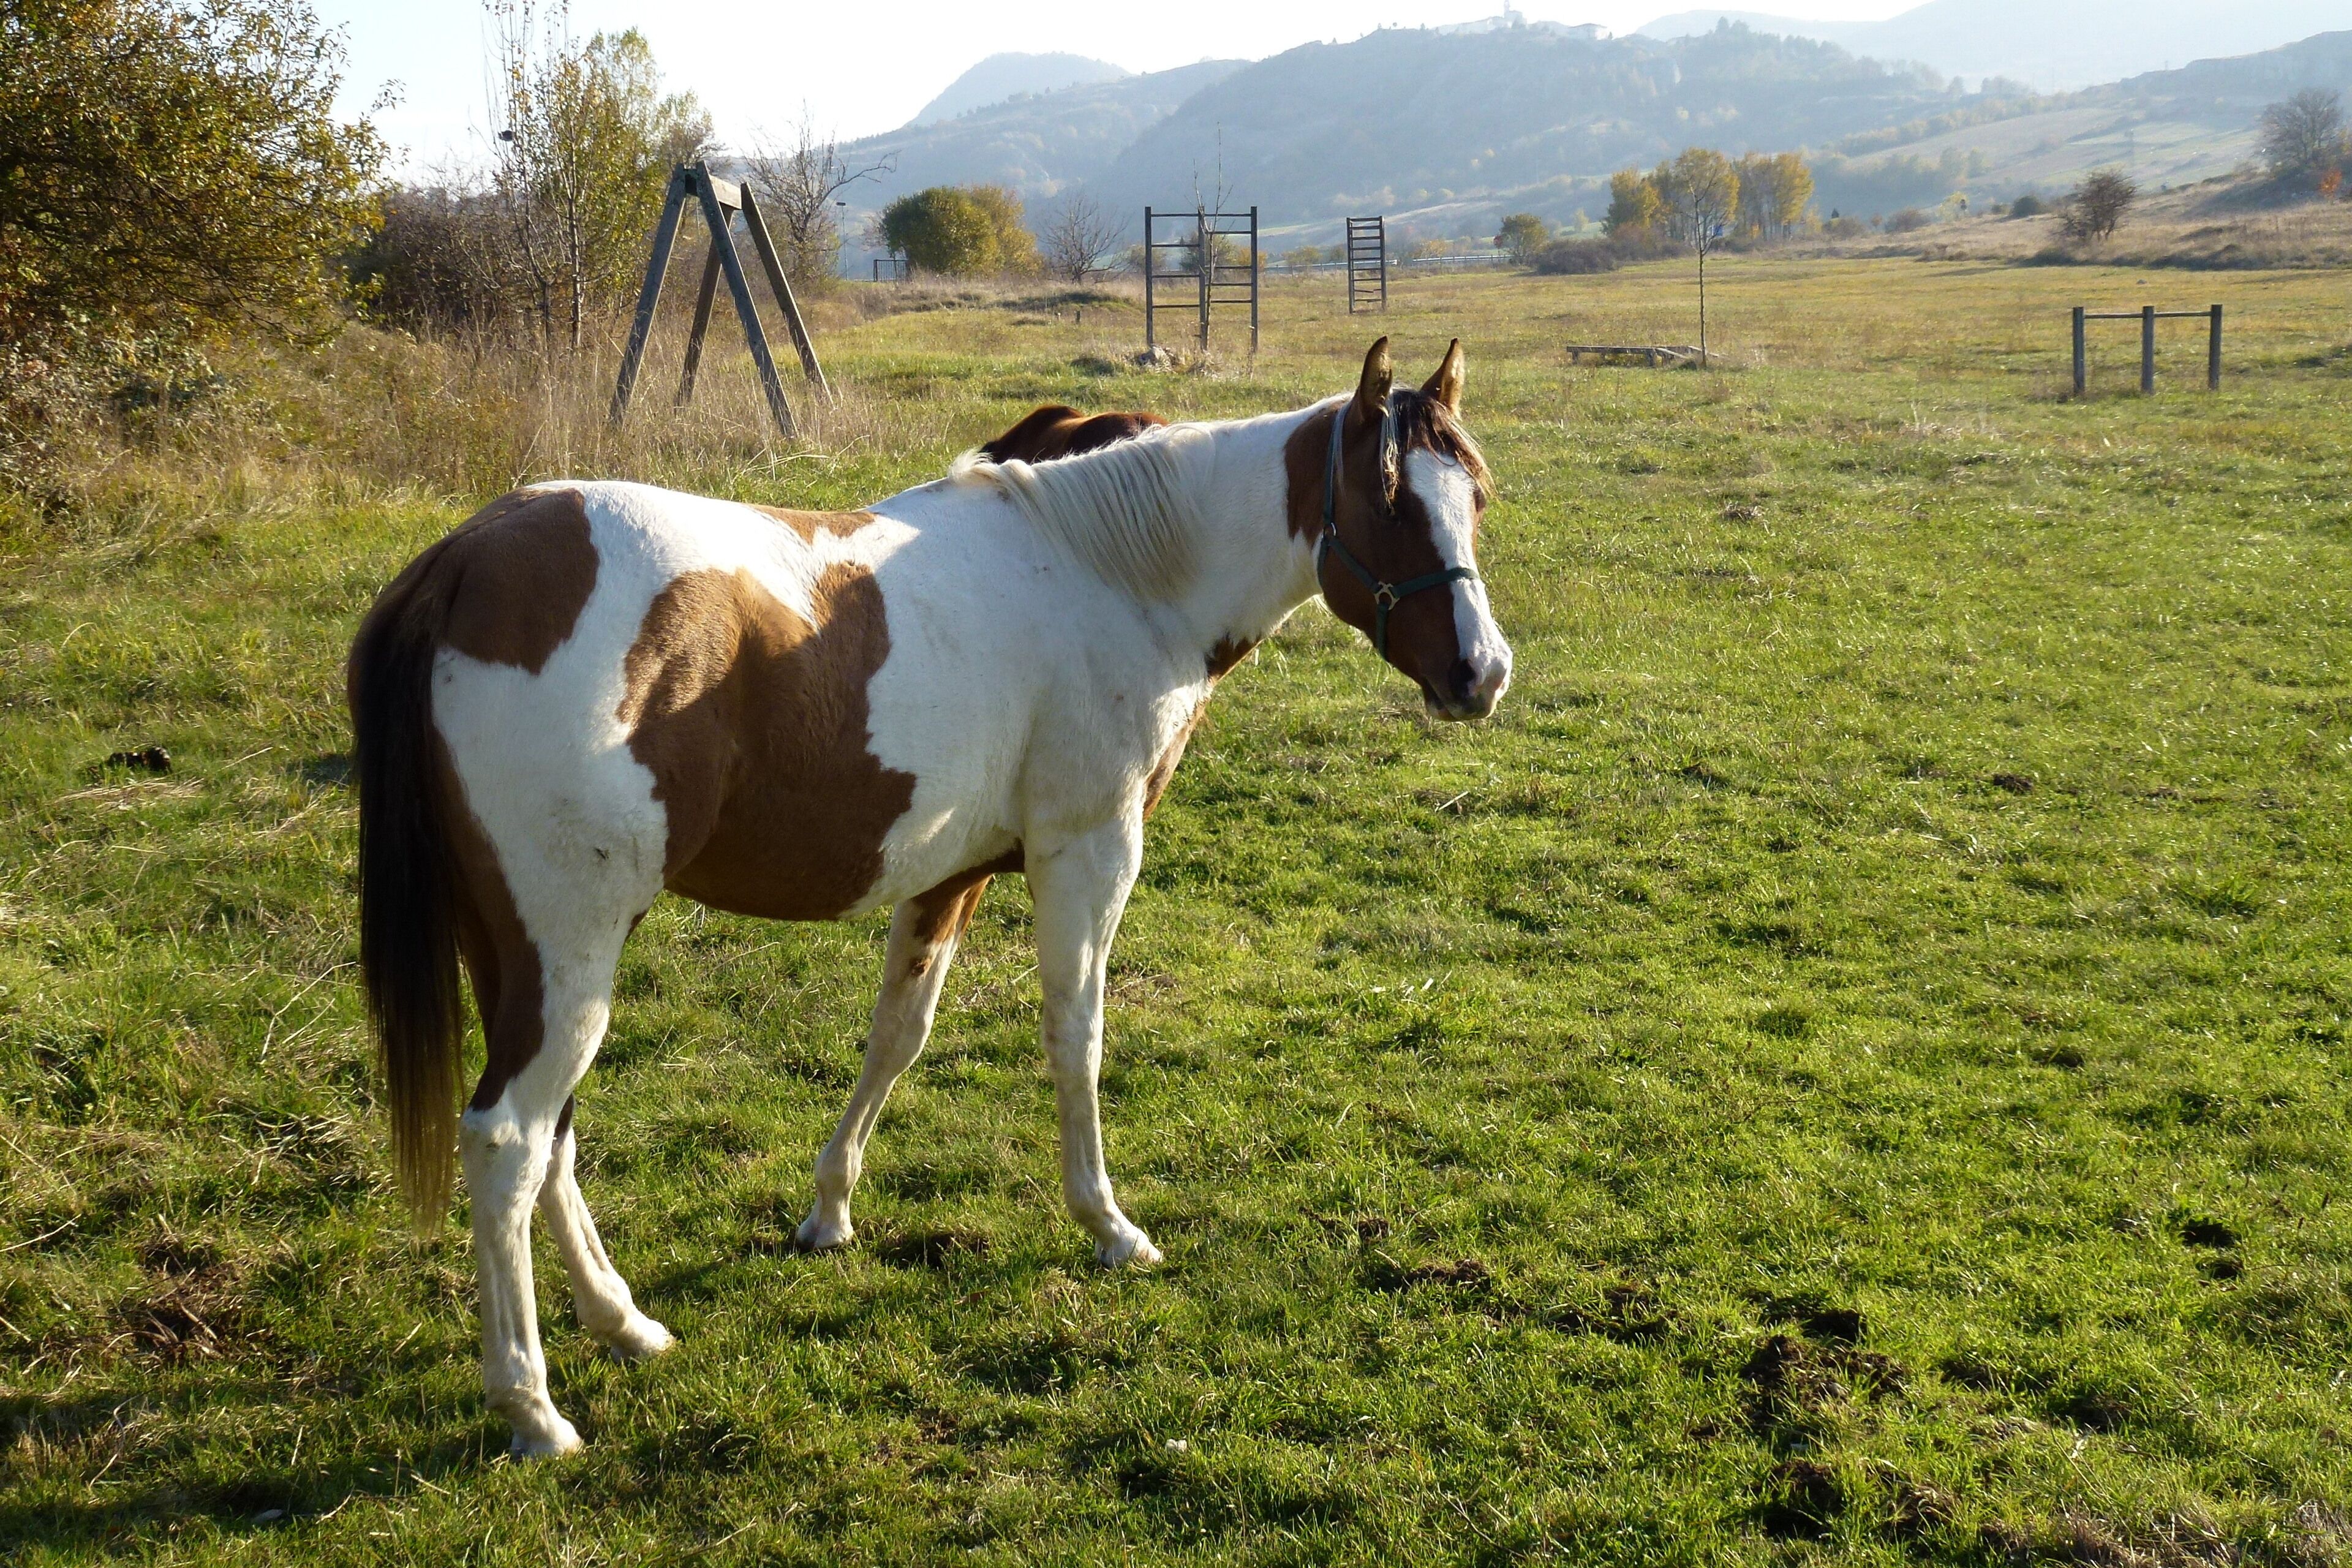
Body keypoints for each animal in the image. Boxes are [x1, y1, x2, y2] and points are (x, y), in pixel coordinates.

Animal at [347, 336, 1513, 1456]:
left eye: (1478, 495)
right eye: (1391, 501)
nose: (1483, 673)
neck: (1108, 573)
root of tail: (465, 563)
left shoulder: (951, 872)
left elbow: (897, 1038)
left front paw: (828, 1212)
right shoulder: (1090, 852)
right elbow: (1076, 1038)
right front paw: (1107, 1226)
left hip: (523, 953)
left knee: (554, 1136)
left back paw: (623, 1322)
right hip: (570, 949)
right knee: (509, 1140)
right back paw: (533, 1409)